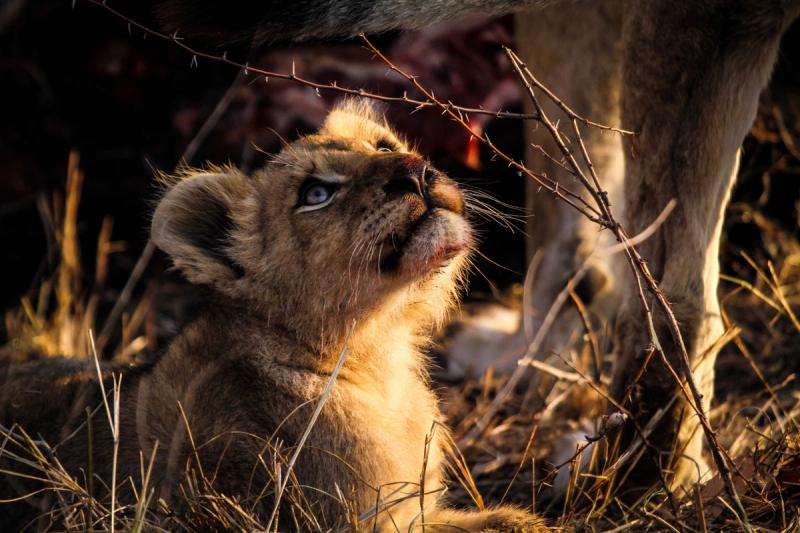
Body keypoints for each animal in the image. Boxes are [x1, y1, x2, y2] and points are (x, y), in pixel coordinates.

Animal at [0, 101, 544, 531]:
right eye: (315, 194)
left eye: (384, 145)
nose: (415, 169)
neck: (376, 356)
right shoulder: (354, 520)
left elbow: (509, 523)